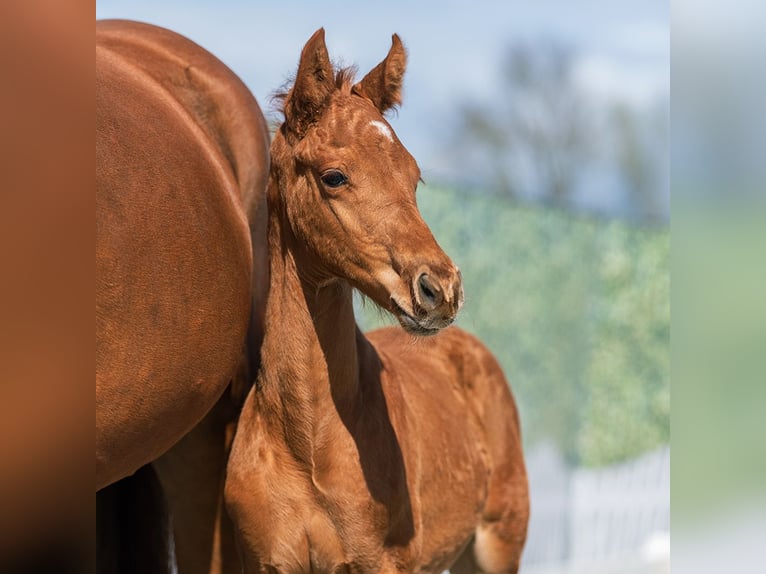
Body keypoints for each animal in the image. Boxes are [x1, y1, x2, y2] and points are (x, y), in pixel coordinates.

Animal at [224, 29, 529, 573]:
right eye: (333, 176)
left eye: (414, 176)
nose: (441, 288)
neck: (308, 446)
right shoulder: (264, 561)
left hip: (496, 546)